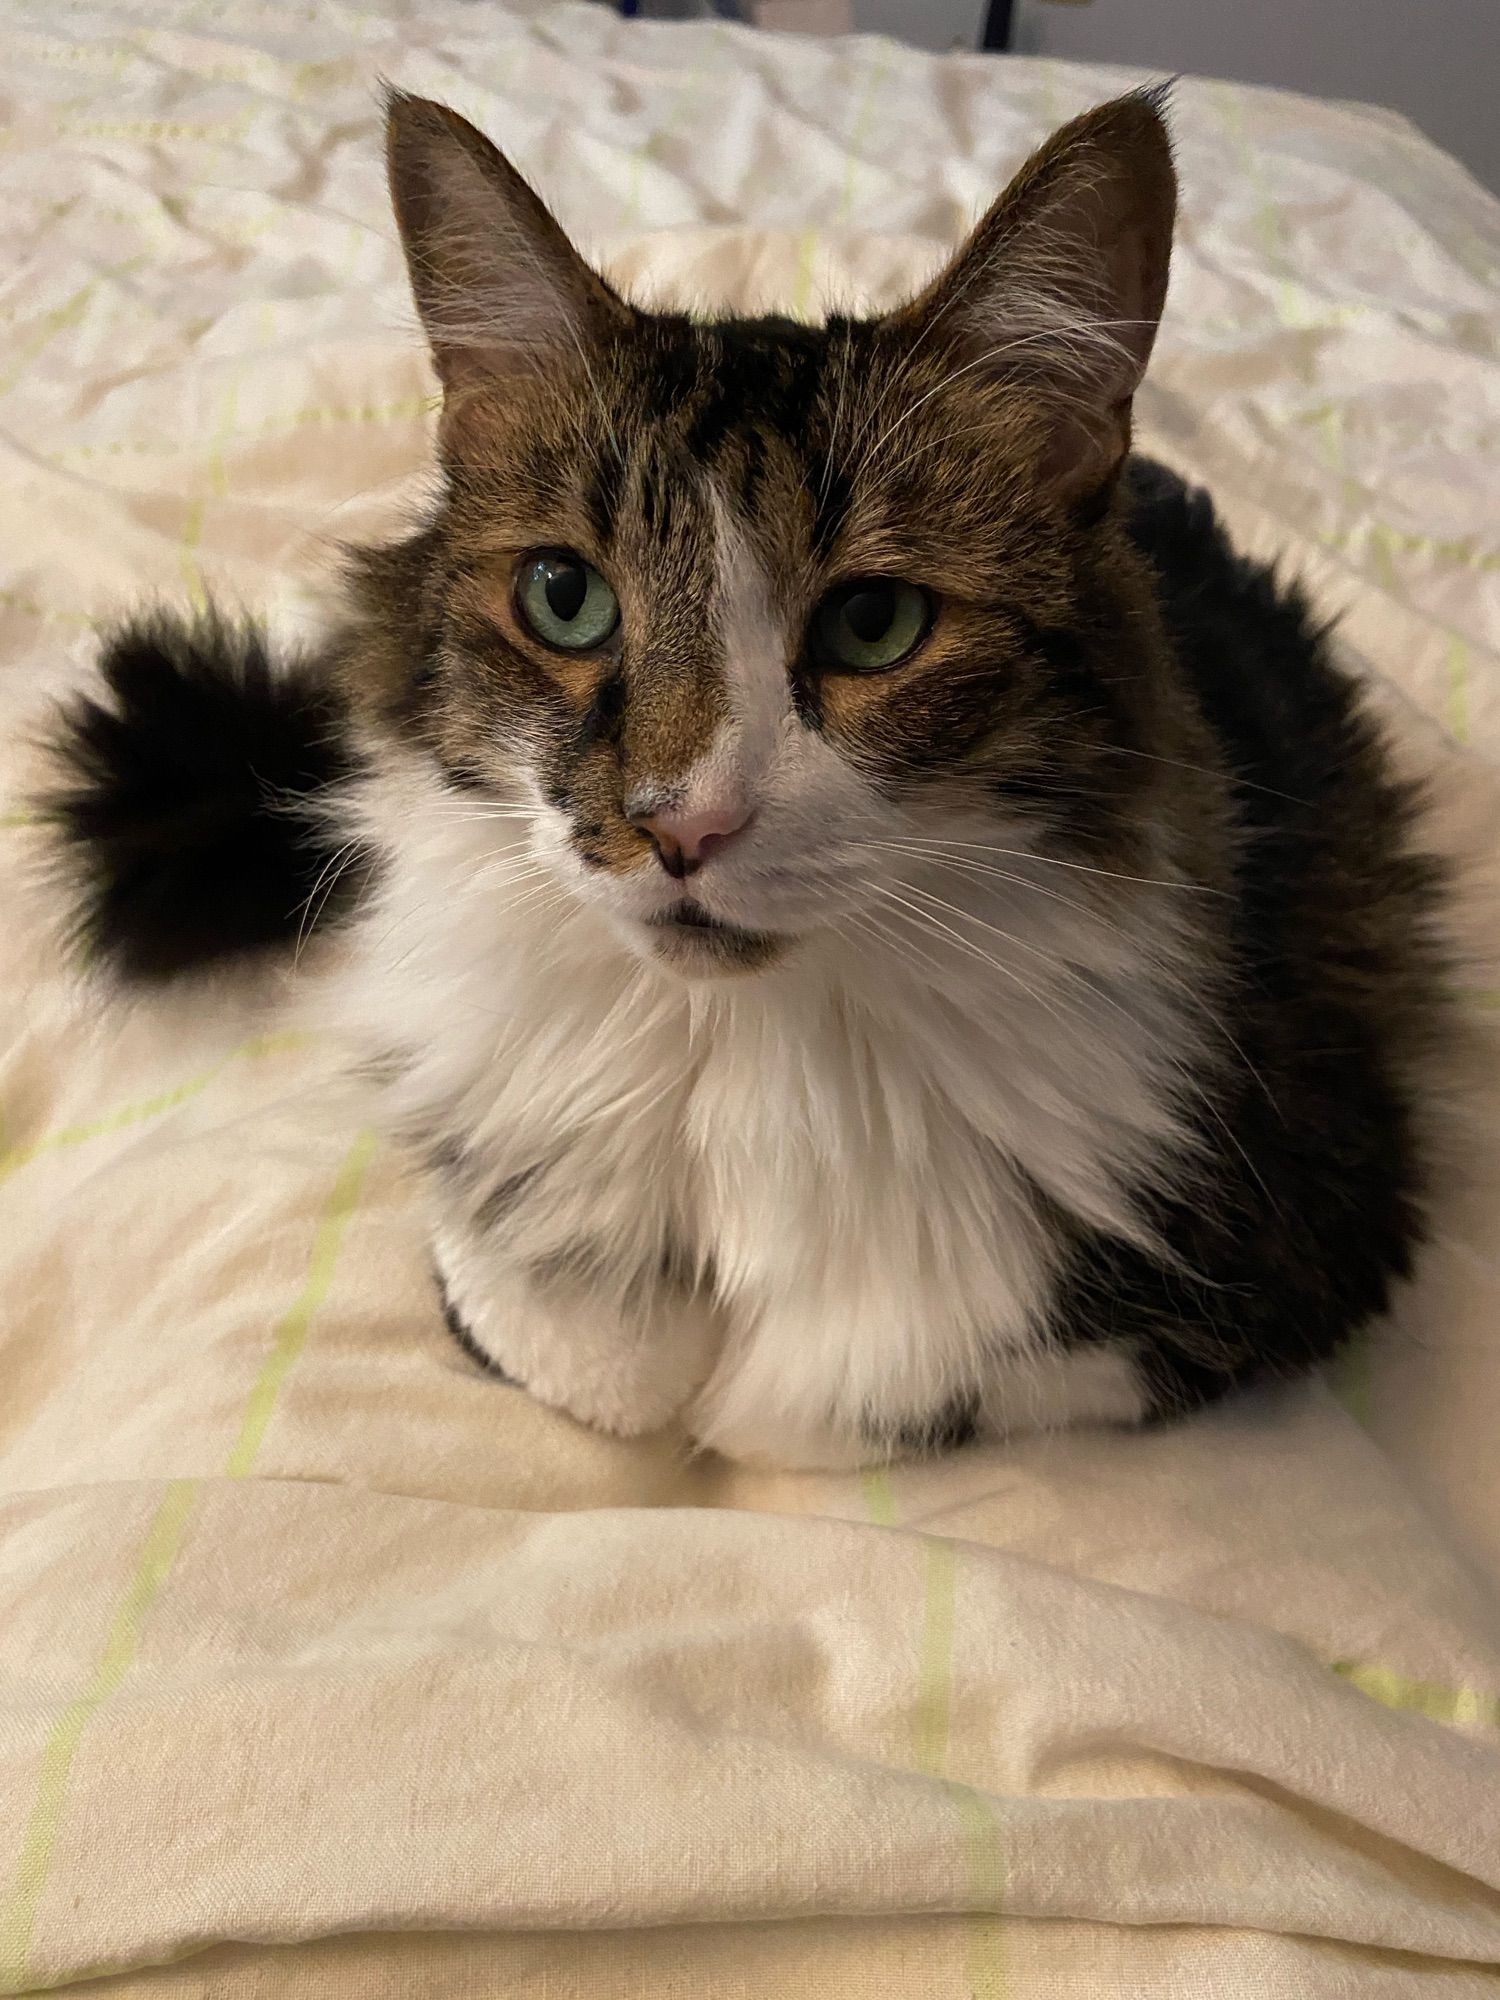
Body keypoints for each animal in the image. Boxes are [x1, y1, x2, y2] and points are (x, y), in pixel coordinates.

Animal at [44, 86, 1448, 1472]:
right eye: (565, 598)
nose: (678, 826)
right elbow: (585, 1345)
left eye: (875, 623)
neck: (736, 1052)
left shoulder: (1287, 1223)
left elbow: (843, 1393)